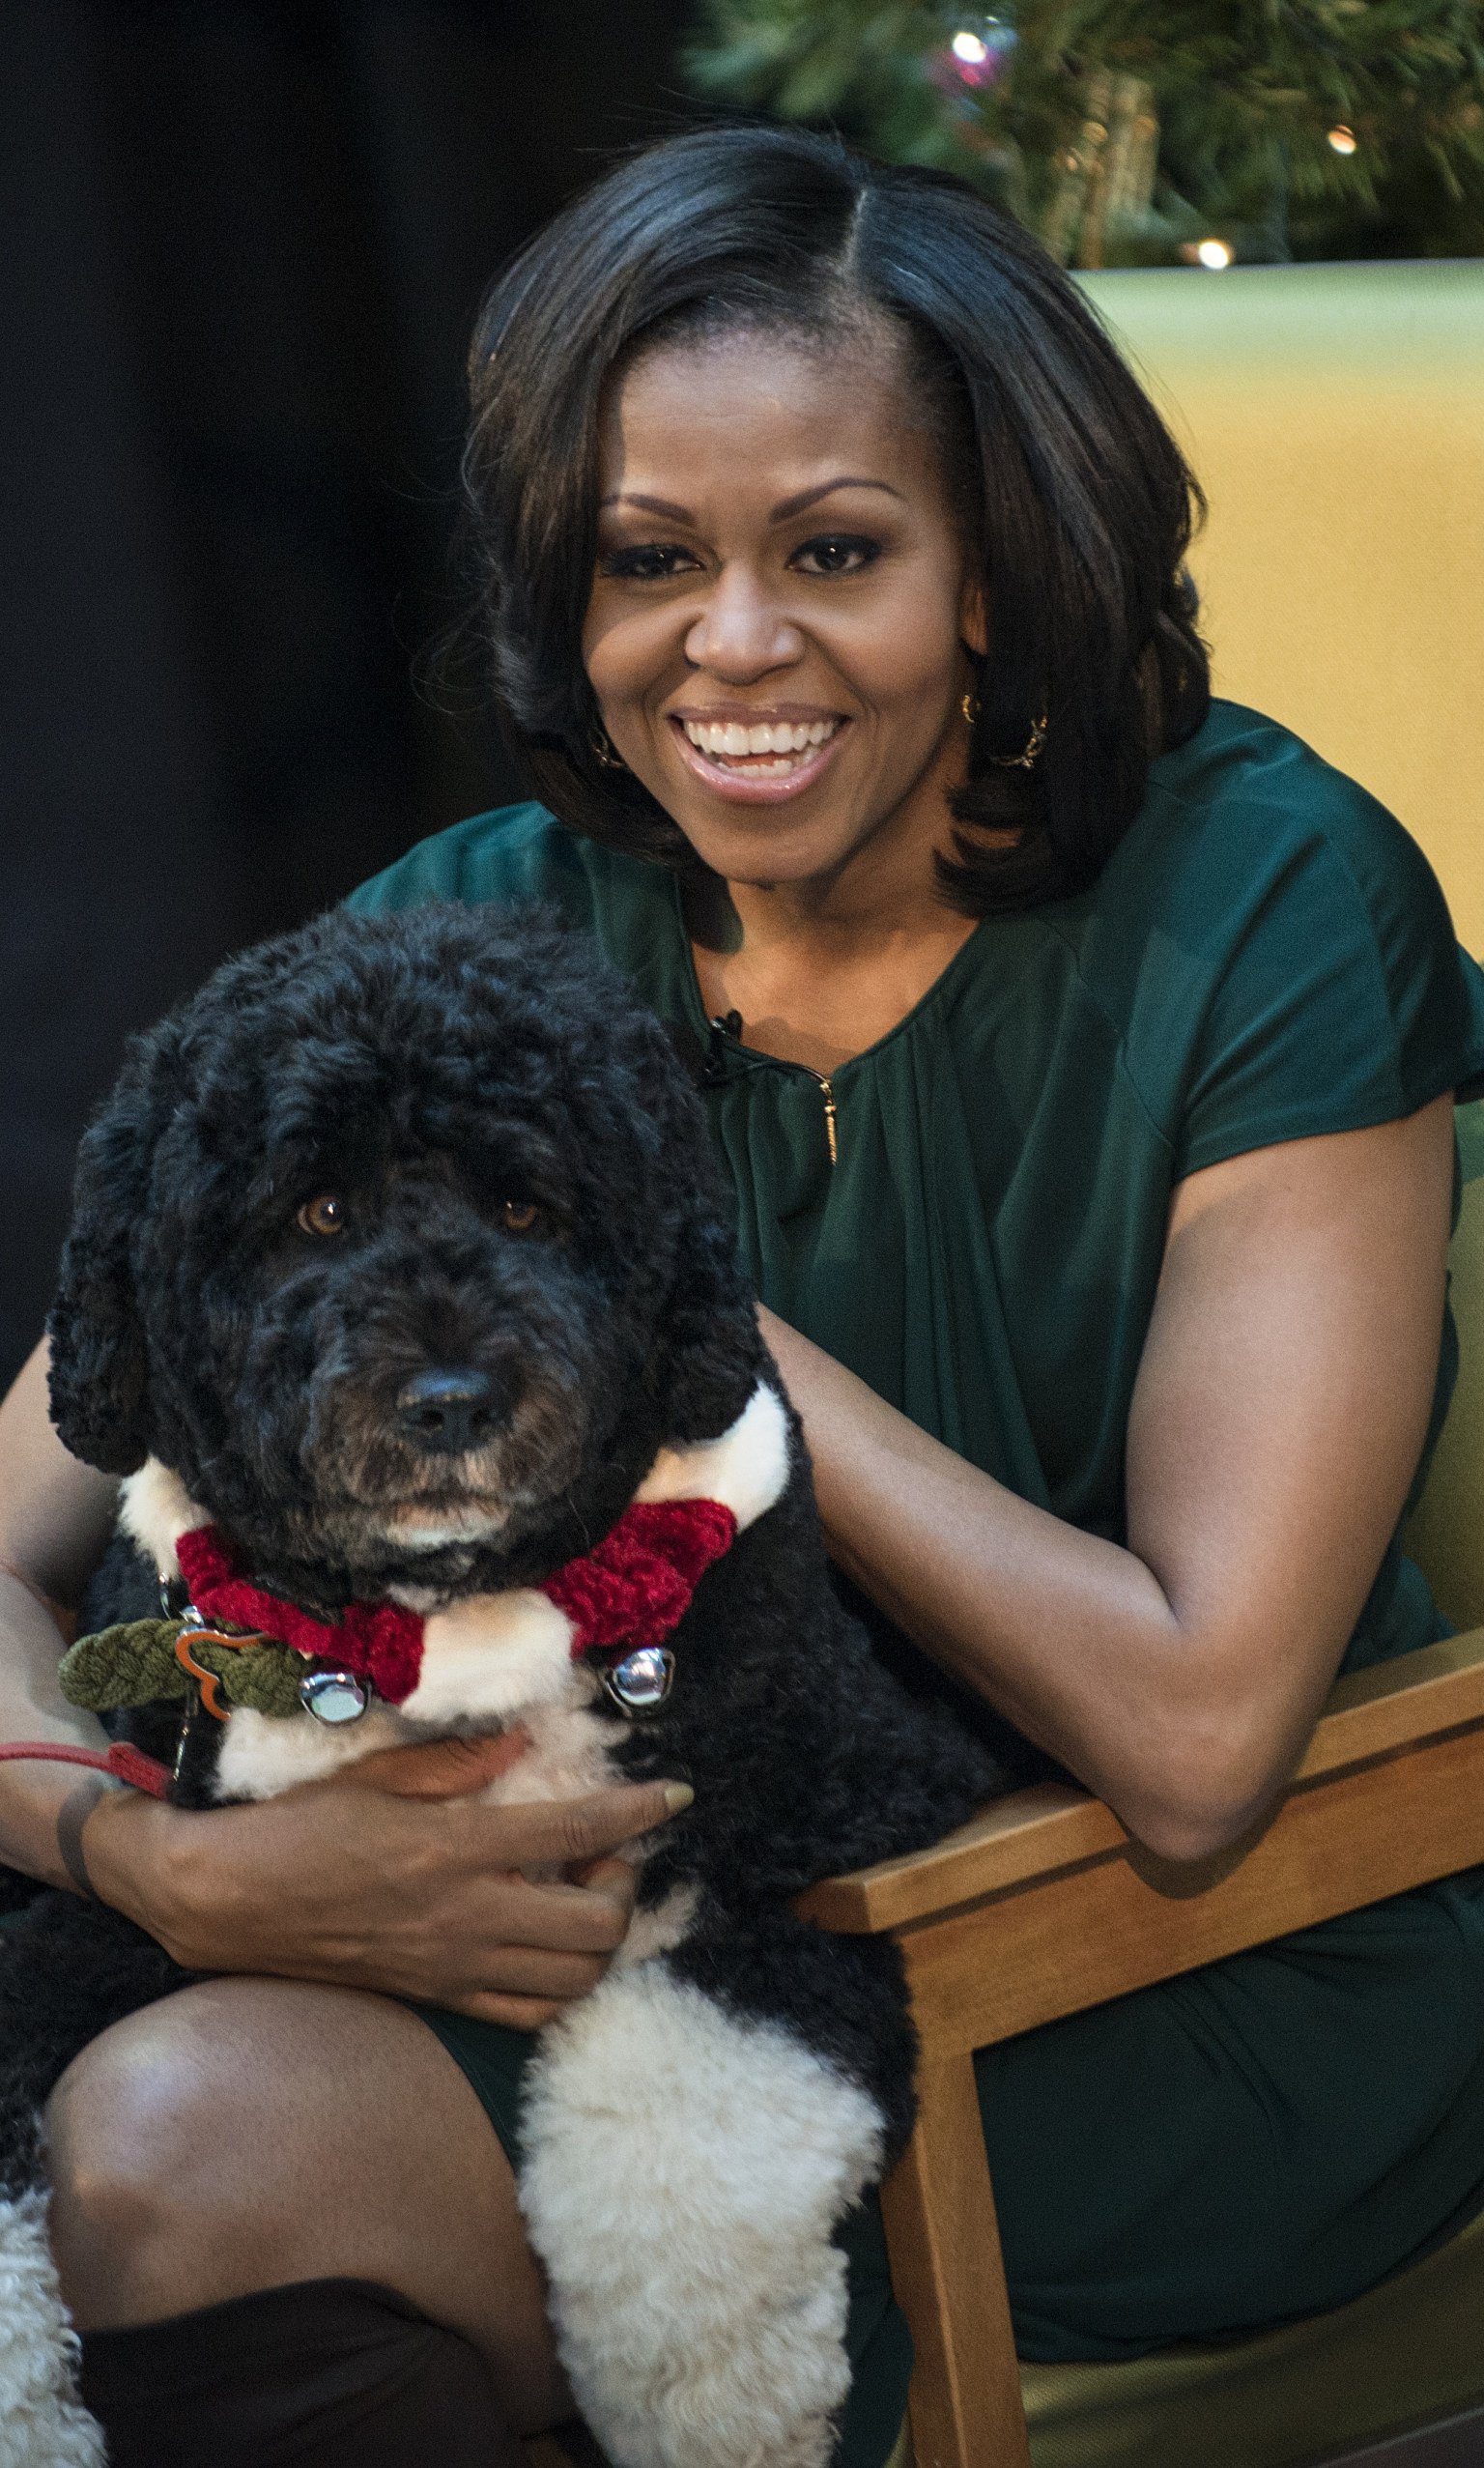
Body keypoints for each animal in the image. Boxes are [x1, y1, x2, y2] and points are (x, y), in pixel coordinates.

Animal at [0, 907, 1002, 2468]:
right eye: (318, 1211)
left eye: (530, 1207)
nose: (452, 1399)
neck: (431, 1633)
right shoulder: (139, 1900)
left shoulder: (836, 1822)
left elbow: (690, 2138)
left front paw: (719, 2401)